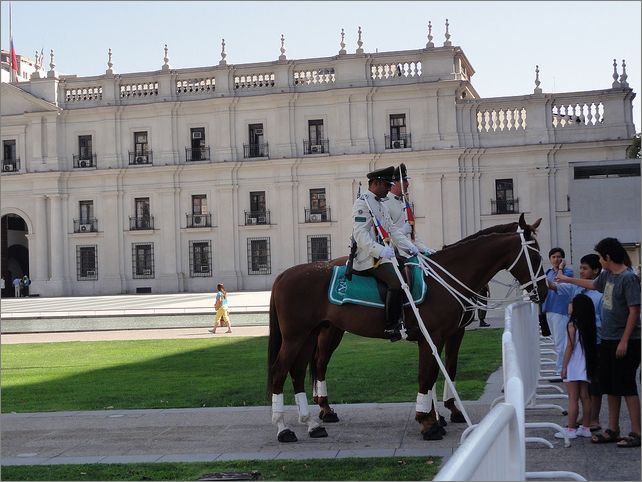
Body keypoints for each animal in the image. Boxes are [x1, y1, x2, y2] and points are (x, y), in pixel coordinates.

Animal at [264, 217, 544, 442]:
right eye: (536, 256)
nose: (544, 290)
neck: (447, 278)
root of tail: (284, 275)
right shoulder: (433, 337)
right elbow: (426, 376)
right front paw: (429, 422)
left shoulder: (447, 335)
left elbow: (440, 372)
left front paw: (438, 416)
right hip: (299, 336)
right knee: (283, 371)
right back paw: (284, 428)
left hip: (309, 335)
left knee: (298, 371)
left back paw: (312, 423)